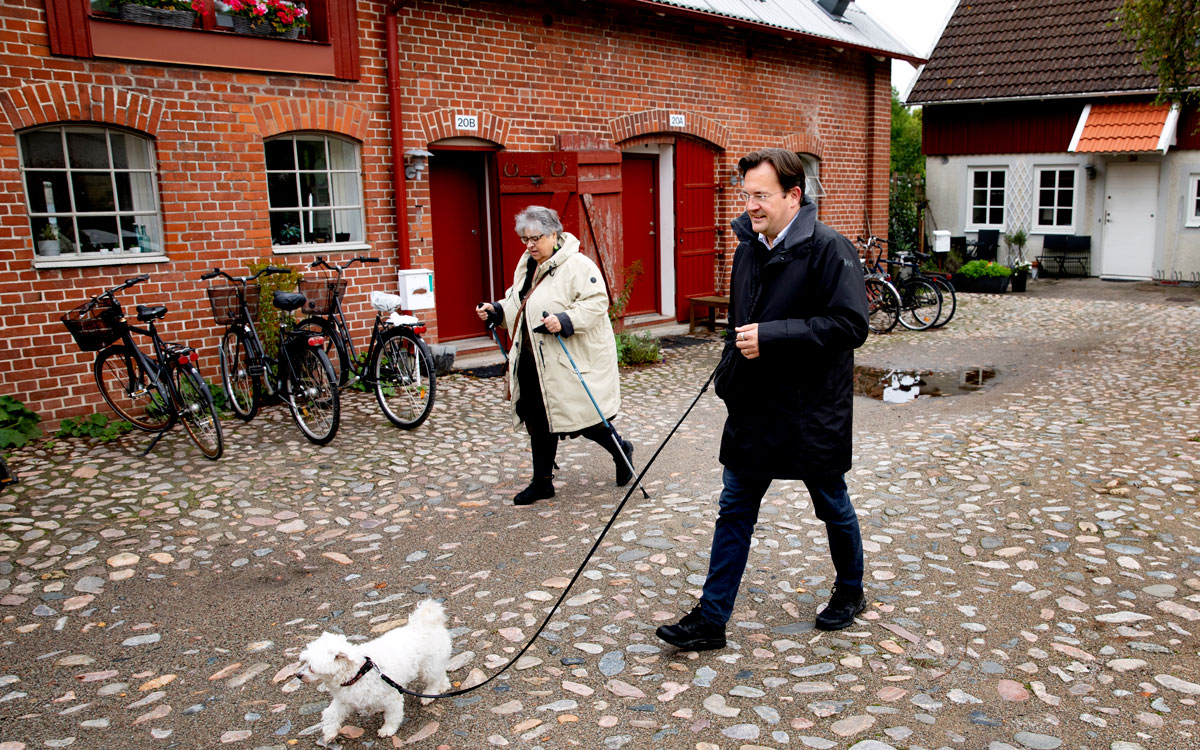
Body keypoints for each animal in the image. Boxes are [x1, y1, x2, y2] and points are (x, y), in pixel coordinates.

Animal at [297, 597, 451, 744]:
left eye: (311, 668)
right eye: (305, 662)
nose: (298, 675)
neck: (359, 672)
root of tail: (425, 624)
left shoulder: (391, 697)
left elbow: (393, 716)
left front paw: (387, 730)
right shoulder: (345, 700)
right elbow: (331, 714)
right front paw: (330, 733)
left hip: (428, 665)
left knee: (434, 680)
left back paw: (429, 695)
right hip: (434, 662)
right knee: (440, 673)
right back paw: (444, 686)